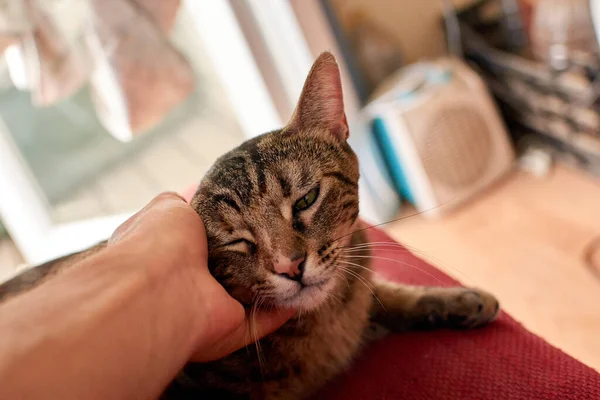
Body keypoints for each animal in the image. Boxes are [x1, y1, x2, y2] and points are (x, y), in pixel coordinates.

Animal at [0, 53, 500, 400]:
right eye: (238, 242)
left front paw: (460, 300)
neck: (326, 327)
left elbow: (389, 295)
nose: (291, 267)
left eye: (305, 199)